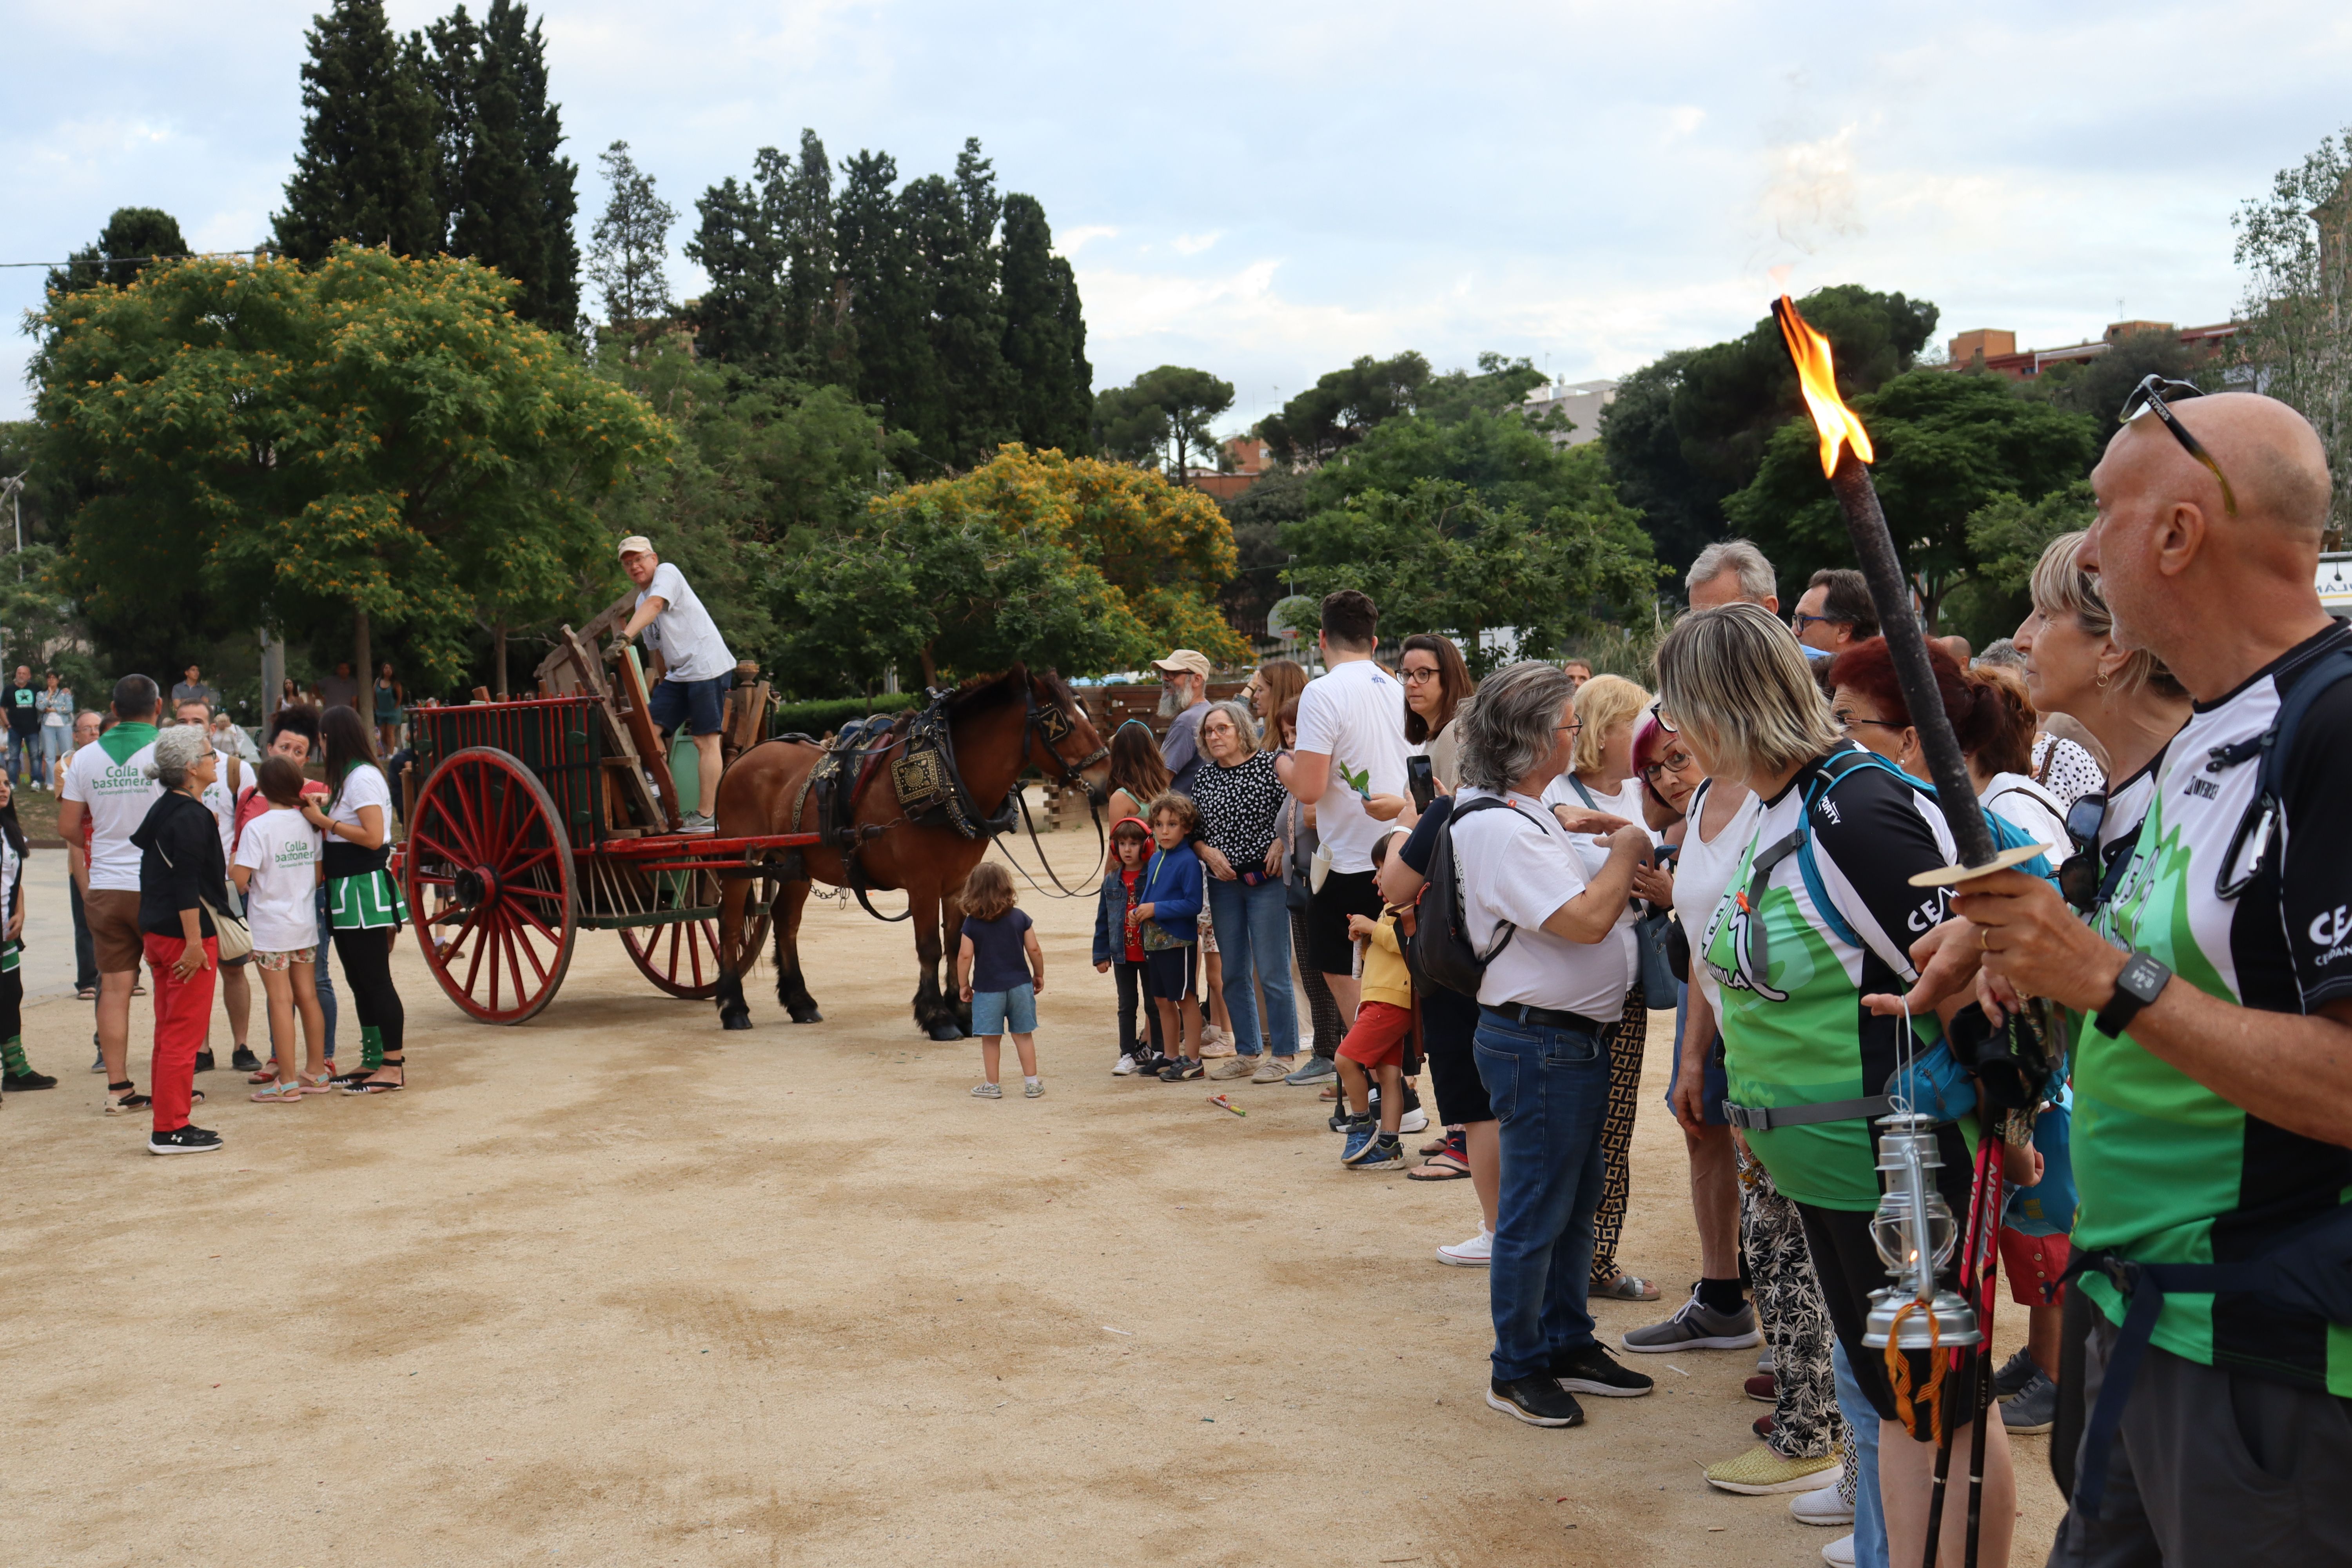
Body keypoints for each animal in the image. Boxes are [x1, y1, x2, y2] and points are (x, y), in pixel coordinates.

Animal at [706, 668, 1110, 1034]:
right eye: (1064, 723)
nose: (1106, 781)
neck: (947, 773)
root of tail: (741, 759)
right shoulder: (923, 882)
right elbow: (930, 946)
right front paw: (937, 1017)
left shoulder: (957, 882)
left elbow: (955, 944)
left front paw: (961, 1012)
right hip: (739, 863)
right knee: (729, 925)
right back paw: (733, 1006)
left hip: (795, 866)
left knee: (786, 922)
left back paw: (800, 1001)